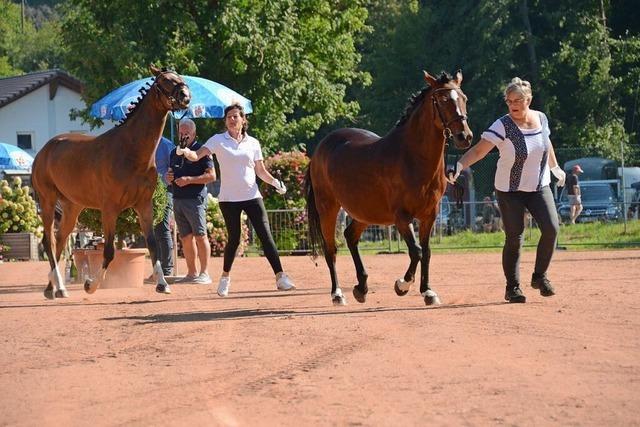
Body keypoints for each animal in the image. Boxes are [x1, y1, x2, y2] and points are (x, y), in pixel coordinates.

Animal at [32, 65, 191, 300]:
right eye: (165, 81)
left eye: (179, 77)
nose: (185, 96)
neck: (131, 151)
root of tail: (45, 150)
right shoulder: (109, 209)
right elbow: (108, 250)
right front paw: (91, 285)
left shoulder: (144, 205)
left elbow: (153, 244)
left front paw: (162, 284)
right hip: (48, 201)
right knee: (49, 241)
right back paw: (58, 287)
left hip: (72, 206)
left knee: (60, 239)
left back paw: (53, 288)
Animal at [302, 70, 472, 306]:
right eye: (443, 100)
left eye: (464, 98)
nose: (464, 137)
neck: (412, 157)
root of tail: (320, 149)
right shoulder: (402, 217)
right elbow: (416, 251)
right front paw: (402, 285)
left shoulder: (430, 215)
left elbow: (427, 252)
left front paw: (428, 292)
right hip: (328, 208)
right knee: (331, 249)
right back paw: (338, 294)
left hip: (364, 212)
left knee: (350, 236)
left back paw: (361, 288)